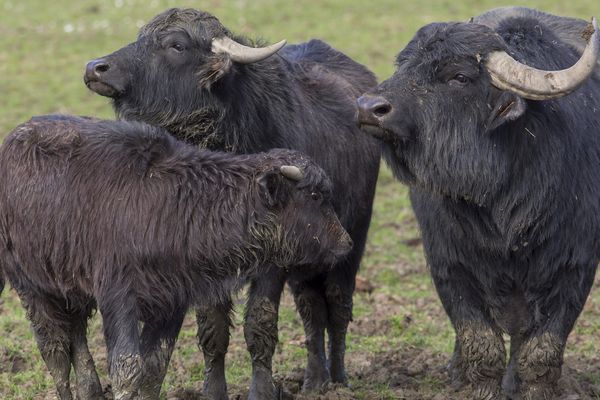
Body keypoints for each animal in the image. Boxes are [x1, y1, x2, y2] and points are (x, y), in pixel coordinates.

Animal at [0, 114, 352, 400]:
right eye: (315, 195)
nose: (346, 244)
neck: (175, 205)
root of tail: (12, 143)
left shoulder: (172, 303)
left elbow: (155, 367)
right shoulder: (118, 298)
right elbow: (127, 367)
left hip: (72, 293)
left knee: (77, 342)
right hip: (31, 288)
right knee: (55, 353)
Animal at [83, 7, 380, 400]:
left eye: (176, 45)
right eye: (140, 37)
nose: (95, 68)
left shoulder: (275, 259)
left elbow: (259, 324)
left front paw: (262, 390)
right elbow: (212, 329)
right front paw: (213, 390)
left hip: (350, 242)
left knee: (338, 305)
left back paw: (339, 377)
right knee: (312, 309)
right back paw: (315, 379)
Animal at [356, 7, 600, 400]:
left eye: (459, 76)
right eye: (403, 64)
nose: (368, 108)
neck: (502, 202)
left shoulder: (575, 265)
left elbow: (541, 349)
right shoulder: (447, 262)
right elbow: (479, 340)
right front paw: (478, 386)